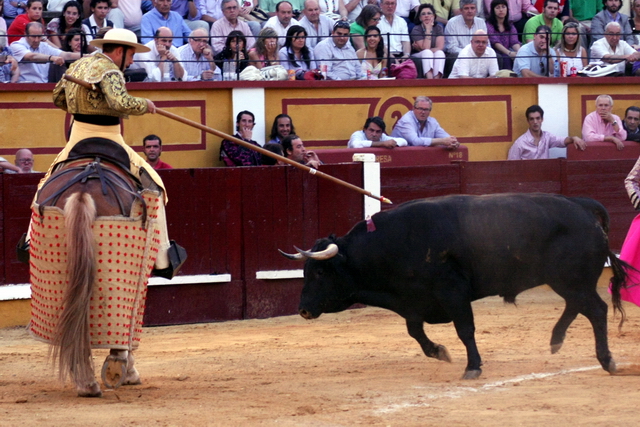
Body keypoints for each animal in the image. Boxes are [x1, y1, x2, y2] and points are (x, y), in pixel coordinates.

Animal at [282, 195, 632, 382]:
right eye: (305, 272)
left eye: (320, 272)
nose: (303, 309)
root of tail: (583, 207)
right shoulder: (413, 300)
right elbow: (415, 332)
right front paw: (440, 352)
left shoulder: (452, 292)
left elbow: (465, 329)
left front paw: (472, 367)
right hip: (568, 281)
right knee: (580, 307)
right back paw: (556, 341)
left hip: (570, 278)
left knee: (595, 310)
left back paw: (606, 360)